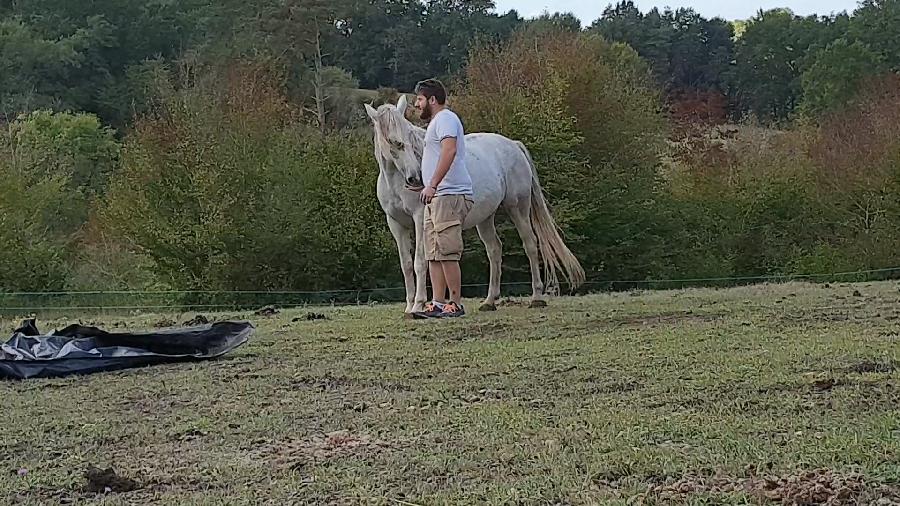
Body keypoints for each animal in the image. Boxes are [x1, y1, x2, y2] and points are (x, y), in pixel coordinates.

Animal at [364, 95, 584, 314]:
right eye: (395, 142)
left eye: (409, 139)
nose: (415, 178)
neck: (395, 181)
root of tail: (513, 145)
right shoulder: (396, 224)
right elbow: (407, 265)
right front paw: (410, 306)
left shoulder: (419, 219)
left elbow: (419, 263)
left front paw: (418, 304)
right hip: (485, 218)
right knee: (494, 249)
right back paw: (489, 301)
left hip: (518, 209)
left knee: (530, 244)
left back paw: (536, 297)